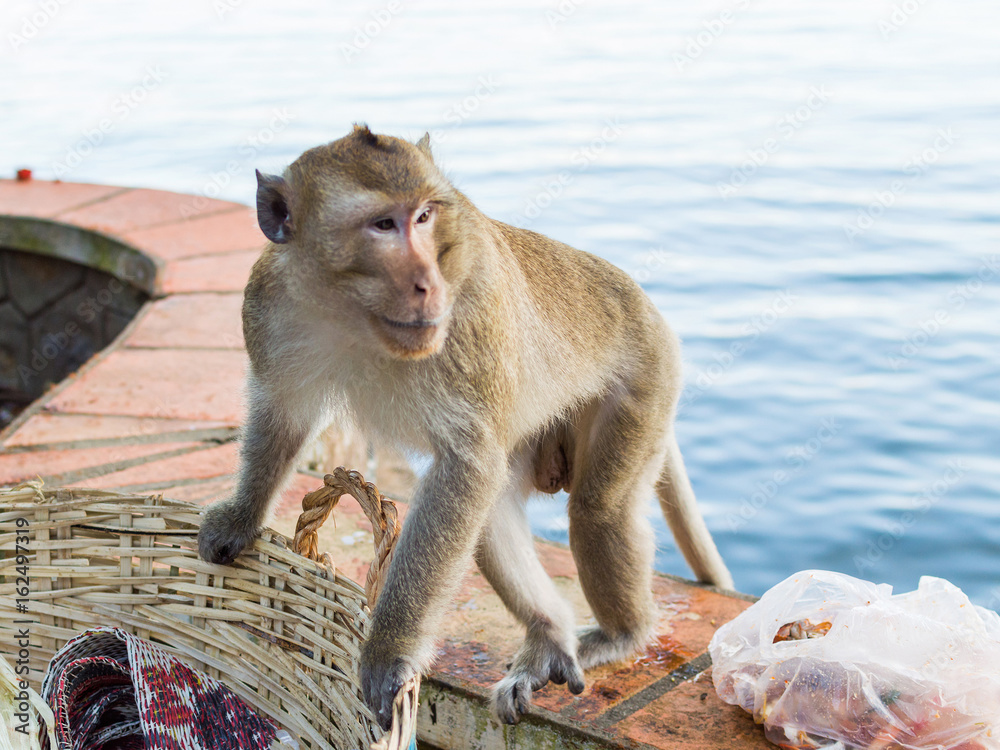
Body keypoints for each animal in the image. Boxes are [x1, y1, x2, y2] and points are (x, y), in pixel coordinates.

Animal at [197, 124, 734, 728]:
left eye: (425, 216)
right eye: (384, 225)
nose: (428, 283)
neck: (353, 312)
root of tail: (648, 307)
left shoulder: (468, 313)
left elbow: (466, 462)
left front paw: (388, 653)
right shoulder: (269, 306)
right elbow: (282, 416)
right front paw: (239, 519)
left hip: (646, 382)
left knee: (597, 509)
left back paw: (622, 635)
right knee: (493, 508)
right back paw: (549, 637)